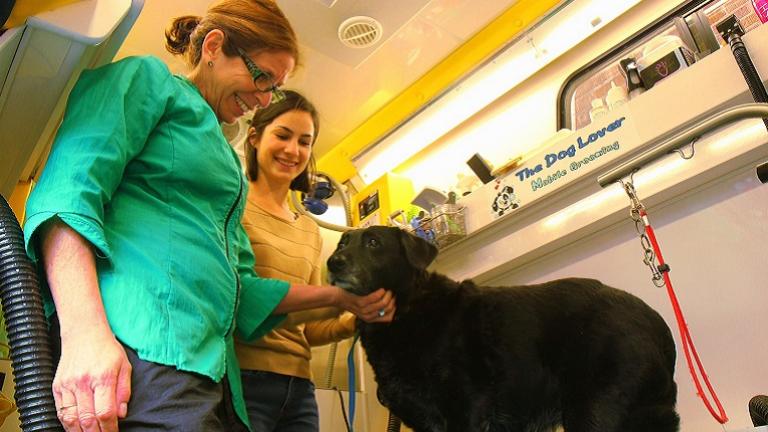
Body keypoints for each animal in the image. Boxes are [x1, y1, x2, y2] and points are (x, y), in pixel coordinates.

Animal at [326, 226, 680, 432]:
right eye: (342, 242)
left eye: (373, 242)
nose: (333, 262)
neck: (407, 311)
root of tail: (656, 322)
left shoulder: (466, 408)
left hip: (592, 408)